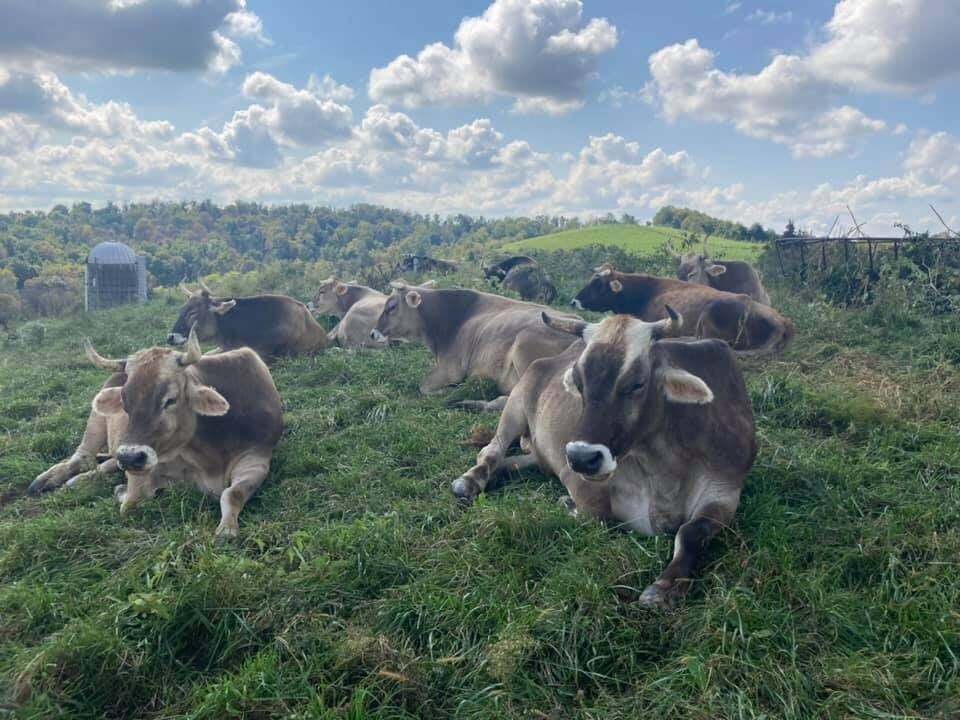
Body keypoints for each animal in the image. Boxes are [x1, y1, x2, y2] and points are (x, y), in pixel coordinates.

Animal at [83, 327, 283, 540]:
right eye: (124, 402)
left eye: (171, 400)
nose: (129, 458)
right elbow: (131, 503)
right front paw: (121, 491)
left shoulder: (257, 456)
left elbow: (232, 494)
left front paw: (226, 529)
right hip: (95, 425)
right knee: (84, 459)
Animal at [371, 283, 580, 411]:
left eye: (391, 307)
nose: (373, 333)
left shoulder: (451, 368)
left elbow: (423, 387)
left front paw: (449, 391)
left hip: (525, 344)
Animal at [452, 309, 756, 608]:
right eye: (578, 381)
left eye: (638, 383)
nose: (581, 457)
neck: (666, 466)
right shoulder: (582, 482)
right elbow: (597, 514)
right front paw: (567, 504)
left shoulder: (724, 491)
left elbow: (692, 532)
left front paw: (665, 586)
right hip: (516, 402)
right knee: (491, 451)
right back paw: (470, 481)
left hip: (538, 451)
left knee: (513, 463)